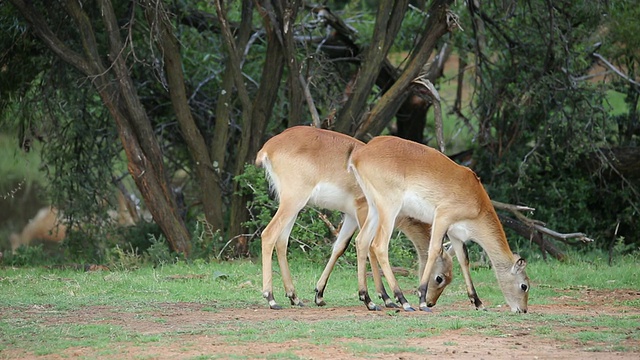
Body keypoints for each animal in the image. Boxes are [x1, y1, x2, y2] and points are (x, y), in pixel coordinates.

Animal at [255, 126, 456, 310]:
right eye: (440, 278)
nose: (430, 303)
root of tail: (269, 147)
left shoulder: (351, 217)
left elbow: (340, 247)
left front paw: (319, 295)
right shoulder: (364, 211)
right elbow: (370, 248)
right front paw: (385, 298)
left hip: (293, 206)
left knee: (282, 241)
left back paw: (294, 297)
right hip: (293, 201)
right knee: (269, 234)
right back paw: (271, 298)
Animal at [350, 135, 528, 312]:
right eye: (524, 286)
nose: (523, 310)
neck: (477, 202)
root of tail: (359, 155)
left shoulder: (455, 234)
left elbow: (463, 259)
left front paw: (478, 302)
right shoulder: (442, 218)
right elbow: (434, 250)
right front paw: (422, 300)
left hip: (374, 208)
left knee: (362, 241)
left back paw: (369, 300)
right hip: (389, 208)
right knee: (379, 246)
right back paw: (403, 301)